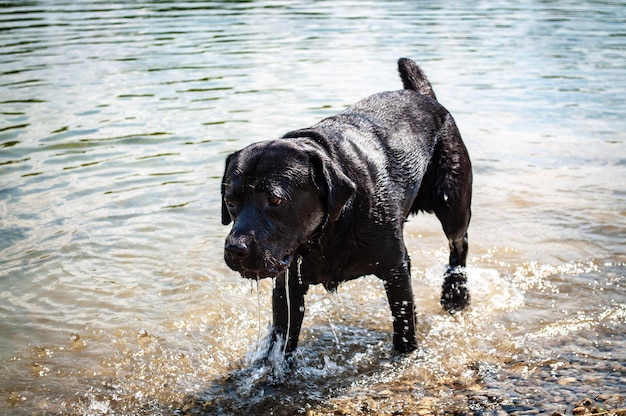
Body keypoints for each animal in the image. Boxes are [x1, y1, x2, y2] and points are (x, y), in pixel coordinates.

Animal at [219, 58, 468, 356]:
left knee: (459, 245)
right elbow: (282, 339)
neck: (329, 232)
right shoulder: (287, 283)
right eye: (230, 201)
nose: (235, 249)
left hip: (453, 204)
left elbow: (404, 327)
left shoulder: (396, 268)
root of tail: (423, 95)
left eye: (275, 200)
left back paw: (456, 294)